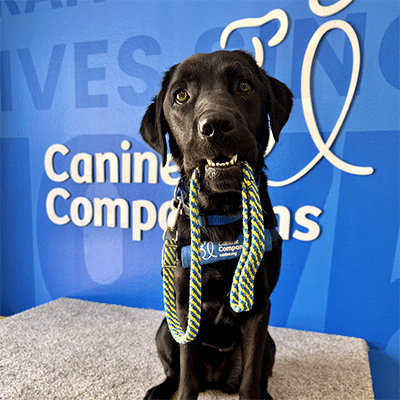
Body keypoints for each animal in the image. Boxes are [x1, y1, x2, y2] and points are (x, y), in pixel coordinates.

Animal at [139, 50, 292, 400]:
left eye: (244, 85)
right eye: (181, 96)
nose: (216, 126)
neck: (223, 214)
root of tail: (216, 379)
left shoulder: (259, 307)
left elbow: (250, 379)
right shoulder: (184, 307)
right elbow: (187, 380)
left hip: (270, 344)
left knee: (260, 374)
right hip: (164, 330)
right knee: (176, 372)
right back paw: (160, 389)